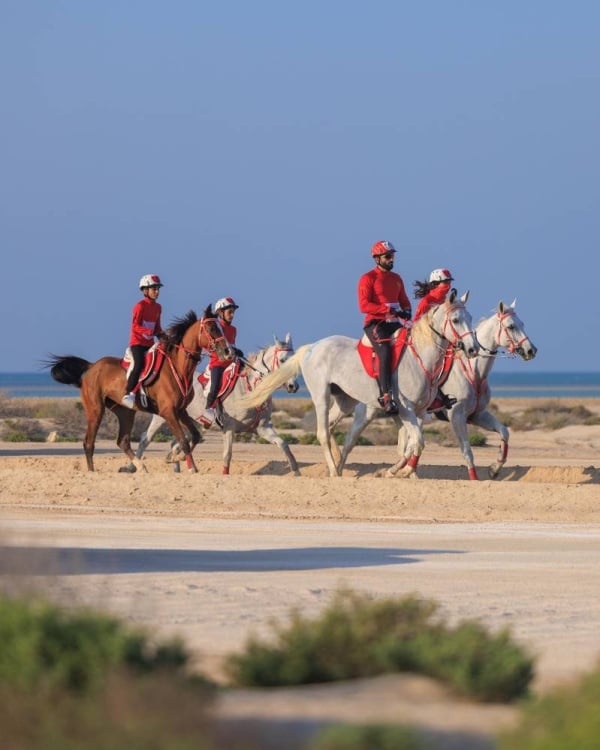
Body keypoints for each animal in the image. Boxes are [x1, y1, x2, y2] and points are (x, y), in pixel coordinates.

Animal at [44, 304, 231, 470]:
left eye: (220, 328)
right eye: (212, 328)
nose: (227, 352)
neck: (178, 368)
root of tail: (91, 367)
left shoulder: (180, 411)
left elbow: (195, 436)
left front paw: (176, 458)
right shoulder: (168, 412)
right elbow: (184, 440)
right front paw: (191, 468)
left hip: (125, 412)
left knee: (123, 441)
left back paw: (141, 467)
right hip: (96, 409)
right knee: (89, 442)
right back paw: (92, 472)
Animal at [131, 334, 300, 476]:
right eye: (283, 360)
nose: (294, 386)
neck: (250, 390)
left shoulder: (263, 428)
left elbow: (284, 444)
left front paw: (296, 472)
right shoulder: (229, 429)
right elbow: (227, 455)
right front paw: (224, 474)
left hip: (190, 422)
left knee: (177, 442)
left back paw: (177, 466)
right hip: (162, 417)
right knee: (145, 439)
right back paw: (135, 467)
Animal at [239, 290, 478, 478]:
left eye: (470, 317)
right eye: (456, 320)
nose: (473, 349)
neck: (419, 357)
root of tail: (312, 347)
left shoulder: (418, 412)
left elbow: (410, 446)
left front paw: (396, 471)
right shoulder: (406, 409)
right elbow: (417, 442)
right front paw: (401, 471)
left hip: (345, 402)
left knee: (337, 432)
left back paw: (338, 467)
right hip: (321, 397)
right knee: (323, 433)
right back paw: (333, 471)